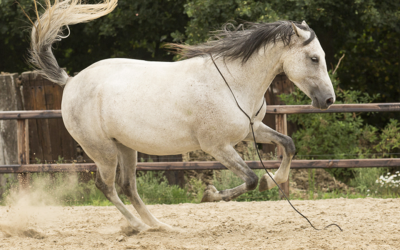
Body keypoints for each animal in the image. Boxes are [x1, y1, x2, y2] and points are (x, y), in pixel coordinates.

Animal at [27, 0, 334, 231]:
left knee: (128, 186)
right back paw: (137, 227)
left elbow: (288, 145)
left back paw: (160, 226)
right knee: (106, 186)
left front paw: (272, 181)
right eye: (314, 58)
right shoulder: (216, 146)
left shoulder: (251, 129)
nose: (328, 100)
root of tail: (70, 81)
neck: (233, 83)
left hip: (125, 148)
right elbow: (250, 179)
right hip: (103, 151)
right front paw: (210, 195)